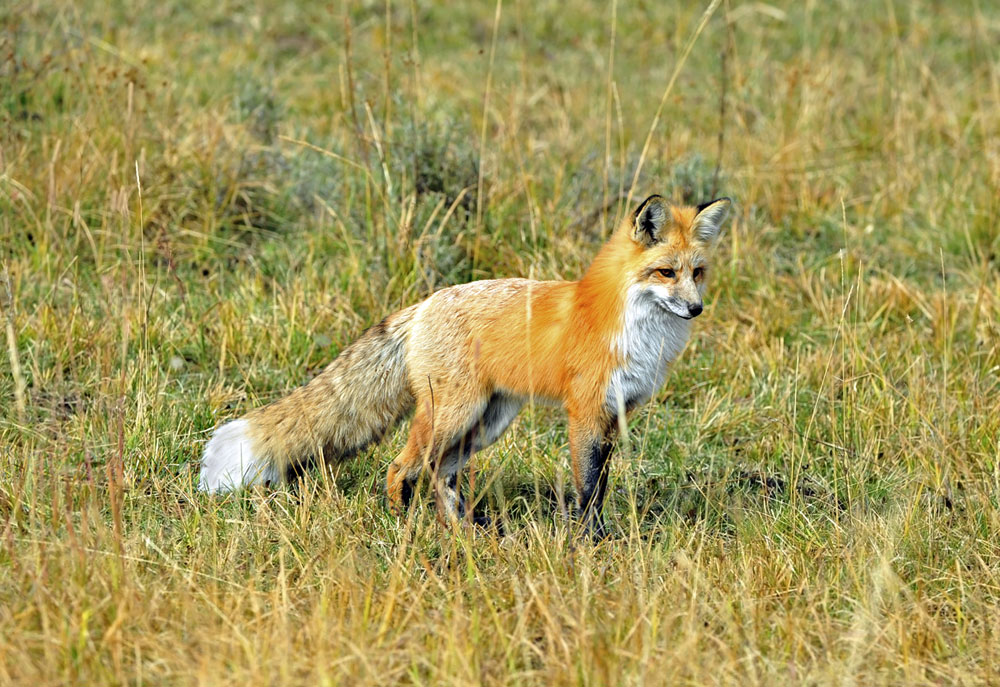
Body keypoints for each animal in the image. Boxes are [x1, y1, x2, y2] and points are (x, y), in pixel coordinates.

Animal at [199, 195, 732, 536]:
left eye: (697, 272)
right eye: (666, 272)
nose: (696, 309)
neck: (630, 327)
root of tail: (424, 304)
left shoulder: (615, 414)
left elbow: (598, 487)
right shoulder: (585, 411)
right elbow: (586, 491)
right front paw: (589, 544)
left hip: (487, 422)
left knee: (440, 472)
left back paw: (462, 529)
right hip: (453, 414)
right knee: (401, 468)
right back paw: (404, 526)